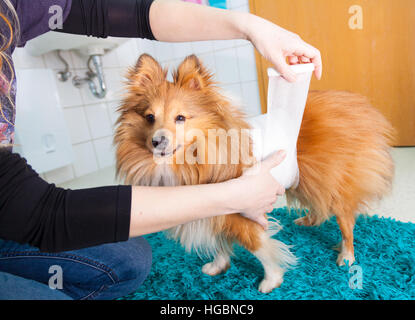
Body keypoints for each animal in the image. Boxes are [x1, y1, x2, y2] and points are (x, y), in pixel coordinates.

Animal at [115, 54, 394, 292]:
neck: (190, 163)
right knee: (320, 205)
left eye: (181, 118)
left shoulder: (243, 213)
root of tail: (354, 103)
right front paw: (219, 265)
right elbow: (219, 243)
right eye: (149, 117)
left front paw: (271, 280)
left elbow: (260, 247)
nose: (157, 141)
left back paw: (346, 255)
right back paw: (308, 220)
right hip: (305, 180)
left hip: (331, 182)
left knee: (345, 221)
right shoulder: (212, 208)